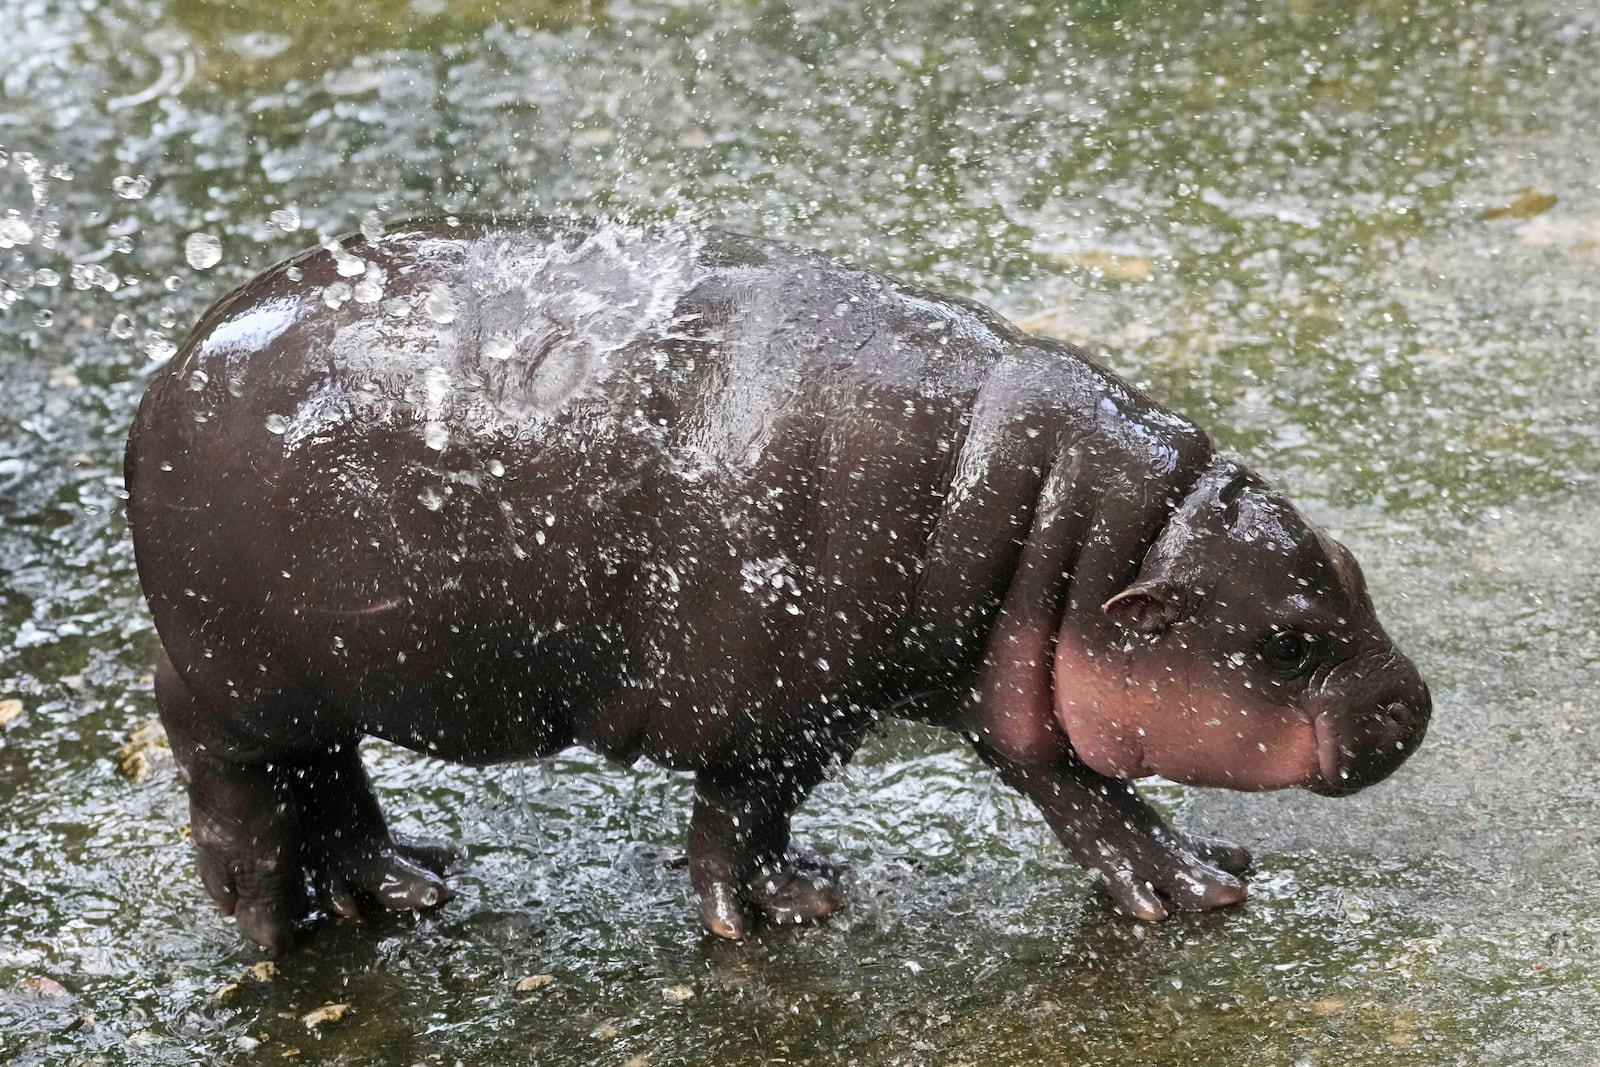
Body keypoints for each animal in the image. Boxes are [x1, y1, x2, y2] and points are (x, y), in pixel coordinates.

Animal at [121, 217, 1427, 953]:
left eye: (1351, 569)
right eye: (1292, 641)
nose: (1411, 700)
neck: (1069, 539)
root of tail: (170, 369)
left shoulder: (1007, 685)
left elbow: (1084, 794)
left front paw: (1198, 879)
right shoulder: (781, 707)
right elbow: (739, 817)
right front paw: (780, 912)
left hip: (317, 682)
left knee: (330, 775)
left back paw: (408, 882)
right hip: (240, 678)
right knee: (230, 768)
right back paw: (271, 924)